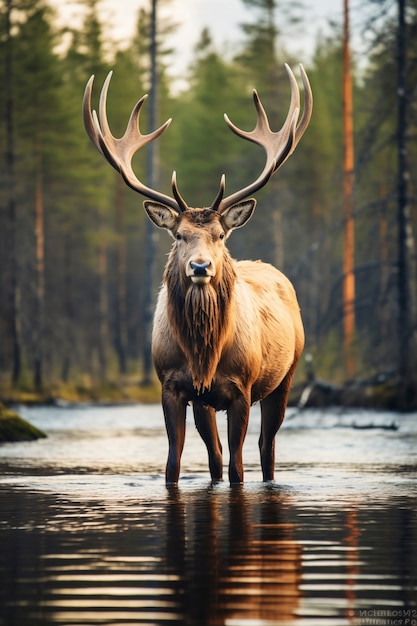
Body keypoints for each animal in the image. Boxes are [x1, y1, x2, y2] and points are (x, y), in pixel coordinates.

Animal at [83, 64, 310, 482]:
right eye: (179, 235)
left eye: (220, 234)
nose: (201, 266)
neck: (204, 353)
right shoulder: (171, 386)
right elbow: (174, 465)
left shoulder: (241, 388)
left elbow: (239, 469)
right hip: (207, 402)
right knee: (215, 457)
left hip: (285, 376)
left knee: (265, 449)